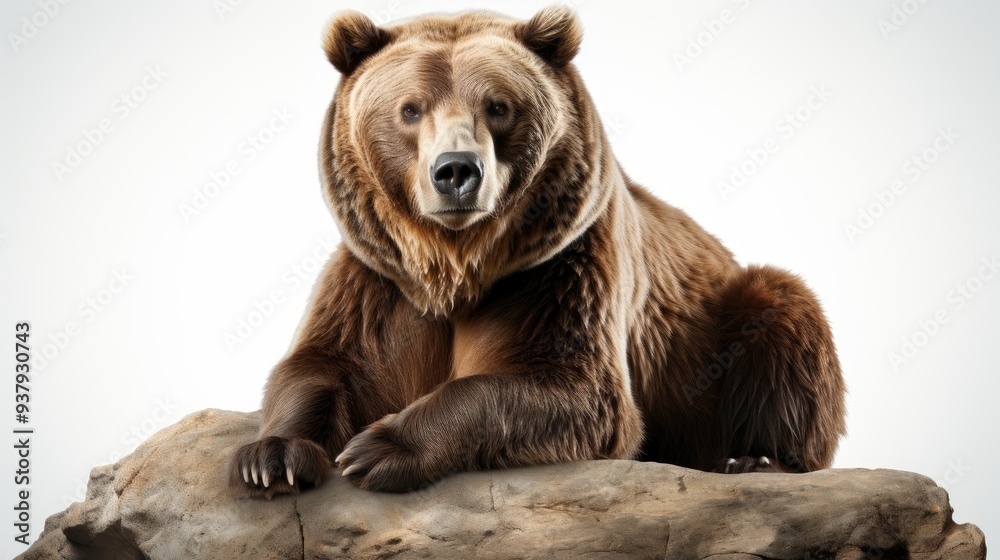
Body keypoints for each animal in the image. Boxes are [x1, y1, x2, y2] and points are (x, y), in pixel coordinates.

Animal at [230, 6, 847, 497]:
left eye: (498, 106)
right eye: (410, 108)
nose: (457, 171)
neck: (455, 263)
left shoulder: (558, 270)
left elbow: (570, 388)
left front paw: (378, 449)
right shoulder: (377, 280)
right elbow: (321, 365)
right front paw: (272, 457)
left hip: (719, 327)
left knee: (784, 316)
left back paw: (756, 459)